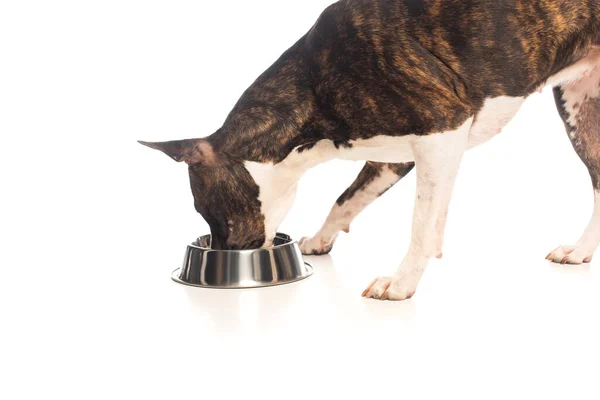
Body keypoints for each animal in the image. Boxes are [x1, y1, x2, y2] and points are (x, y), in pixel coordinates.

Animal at [141, 0, 600, 300]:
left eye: (210, 211)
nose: (223, 254)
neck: (312, 84)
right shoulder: (394, 156)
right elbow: (347, 199)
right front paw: (320, 240)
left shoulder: (442, 127)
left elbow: (419, 219)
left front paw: (402, 282)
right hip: (580, 109)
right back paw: (581, 251)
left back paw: (578, 250)